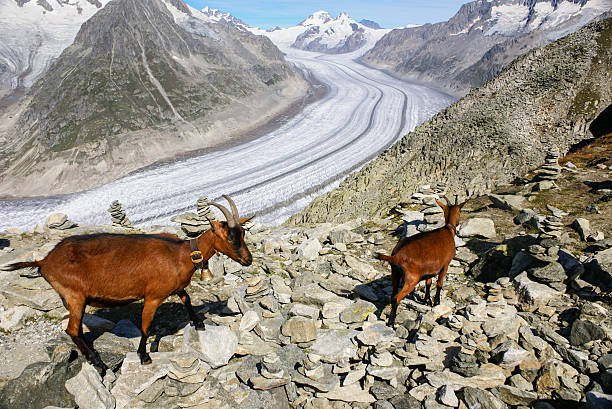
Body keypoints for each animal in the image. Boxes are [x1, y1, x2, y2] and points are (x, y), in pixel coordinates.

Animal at [376, 196, 466, 324]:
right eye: (460, 211)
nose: (458, 223)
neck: (448, 229)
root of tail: (396, 256)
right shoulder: (445, 265)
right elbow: (439, 284)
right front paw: (436, 302)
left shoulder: (430, 270)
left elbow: (429, 283)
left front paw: (427, 300)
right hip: (412, 279)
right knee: (396, 298)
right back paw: (391, 323)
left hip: (395, 274)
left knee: (392, 295)